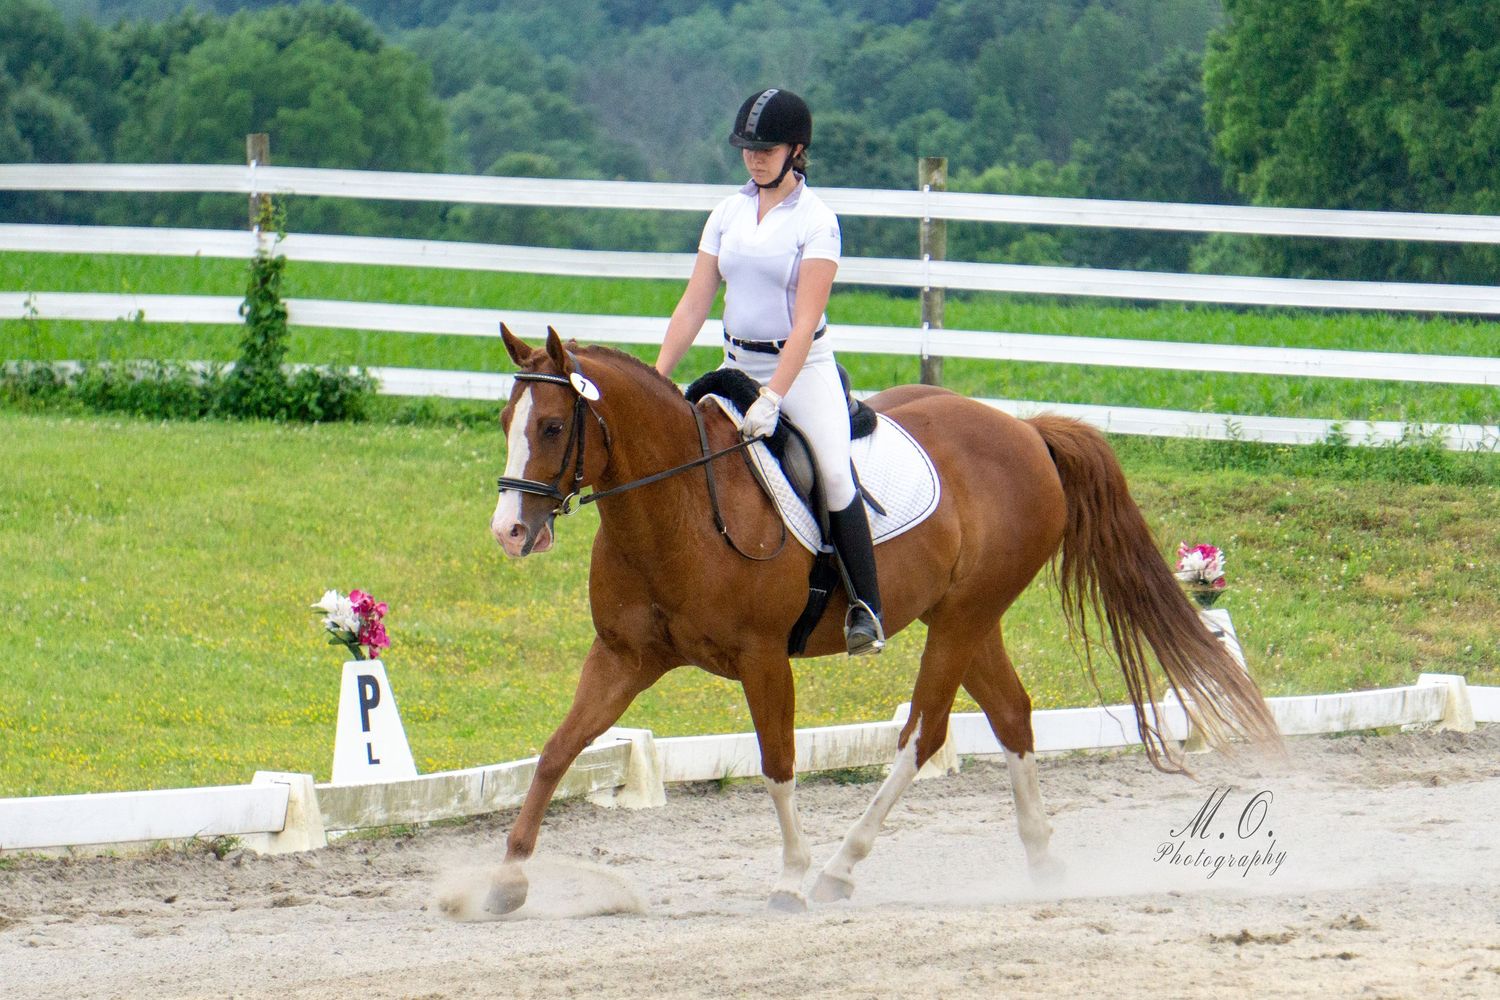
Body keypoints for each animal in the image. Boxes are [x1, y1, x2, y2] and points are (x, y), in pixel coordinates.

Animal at [487, 326, 1282, 913]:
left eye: (553, 426)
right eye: (505, 422)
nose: (510, 533)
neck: (678, 504)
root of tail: (1026, 430)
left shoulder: (762, 659)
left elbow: (779, 764)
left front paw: (790, 877)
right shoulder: (623, 656)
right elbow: (558, 751)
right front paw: (506, 879)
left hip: (961, 620)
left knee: (922, 735)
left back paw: (840, 868)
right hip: (966, 619)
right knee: (1012, 714)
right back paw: (1041, 856)